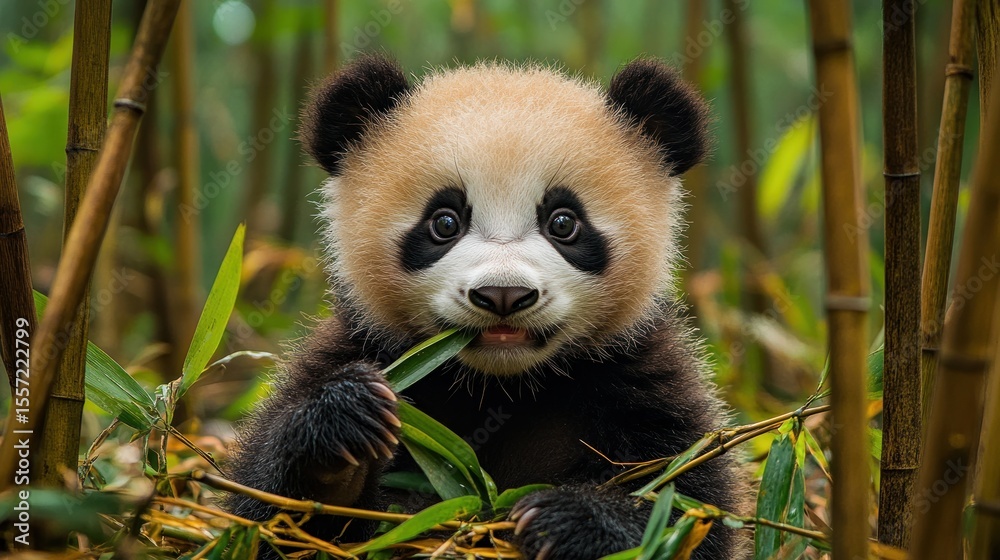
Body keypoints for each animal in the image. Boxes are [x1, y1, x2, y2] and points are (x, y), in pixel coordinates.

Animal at [226, 54, 749, 559]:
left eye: (564, 222)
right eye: (444, 222)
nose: (503, 295)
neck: (502, 385)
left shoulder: (639, 376)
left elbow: (690, 508)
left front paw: (569, 521)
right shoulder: (364, 346)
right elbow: (263, 514)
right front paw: (341, 439)